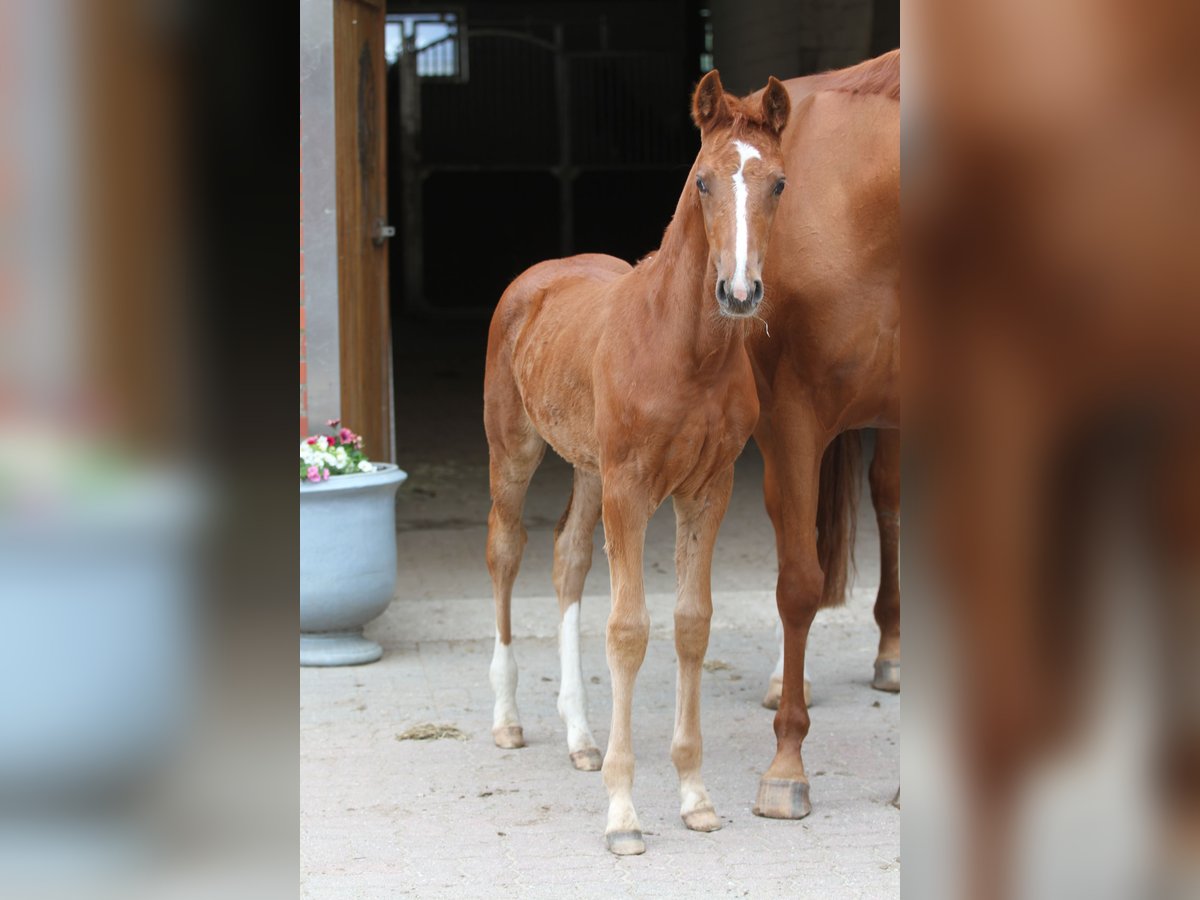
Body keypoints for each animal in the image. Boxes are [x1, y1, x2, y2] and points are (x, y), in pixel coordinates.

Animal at [482, 70, 792, 854]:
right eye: (704, 181)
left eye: (777, 182)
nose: (739, 292)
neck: (689, 352)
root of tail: (542, 273)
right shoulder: (631, 486)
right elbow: (628, 630)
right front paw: (623, 812)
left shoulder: (706, 488)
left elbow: (691, 623)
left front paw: (694, 795)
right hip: (515, 451)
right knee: (506, 551)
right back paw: (509, 720)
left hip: (590, 471)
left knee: (566, 561)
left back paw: (580, 737)